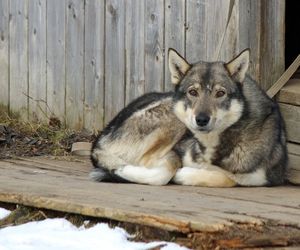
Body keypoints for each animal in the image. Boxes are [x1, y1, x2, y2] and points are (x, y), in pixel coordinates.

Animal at [90, 48, 288, 187]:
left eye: (220, 93)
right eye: (193, 92)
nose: (201, 119)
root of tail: (101, 137)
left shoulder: (262, 177)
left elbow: (230, 178)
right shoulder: (174, 154)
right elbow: (166, 172)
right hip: (174, 121)